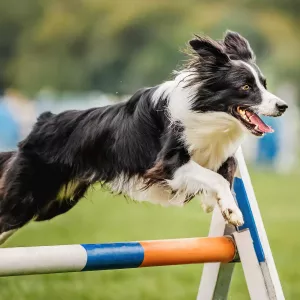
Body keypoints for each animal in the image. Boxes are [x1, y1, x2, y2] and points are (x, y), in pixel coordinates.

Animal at [0, 31, 288, 245]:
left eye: (264, 84)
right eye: (246, 87)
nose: (283, 106)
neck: (207, 112)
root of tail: (42, 120)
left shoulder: (217, 153)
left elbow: (228, 169)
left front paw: (214, 203)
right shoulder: (168, 163)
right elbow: (215, 177)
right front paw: (231, 211)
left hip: (53, 203)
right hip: (27, 197)